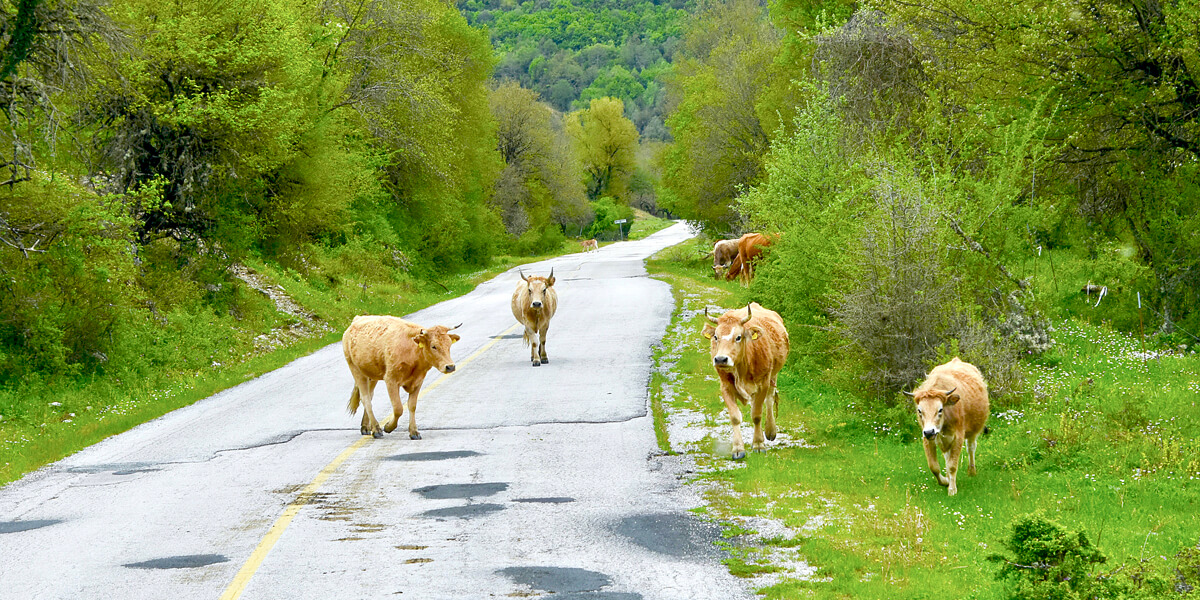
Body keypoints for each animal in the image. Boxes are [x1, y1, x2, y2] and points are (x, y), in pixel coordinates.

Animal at [701, 302, 790, 460]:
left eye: (738, 337)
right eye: (716, 337)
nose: (720, 359)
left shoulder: (763, 384)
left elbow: (757, 415)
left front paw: (759, 445)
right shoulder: (725, 386)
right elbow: (735, 417)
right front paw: (738, 449)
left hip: (773, 375)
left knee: (769, 399)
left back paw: (770, 430)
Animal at [906, 357, 990, 496]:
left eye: (940, 409)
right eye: (919, 411)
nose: (929, 432)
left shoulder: (958, 437)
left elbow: (952, 465)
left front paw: (952, 489)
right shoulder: (927, 439)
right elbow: (934, 466)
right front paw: (945, 481)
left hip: (973, 431)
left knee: (971, 448)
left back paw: (971, 471)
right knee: (947, 456)